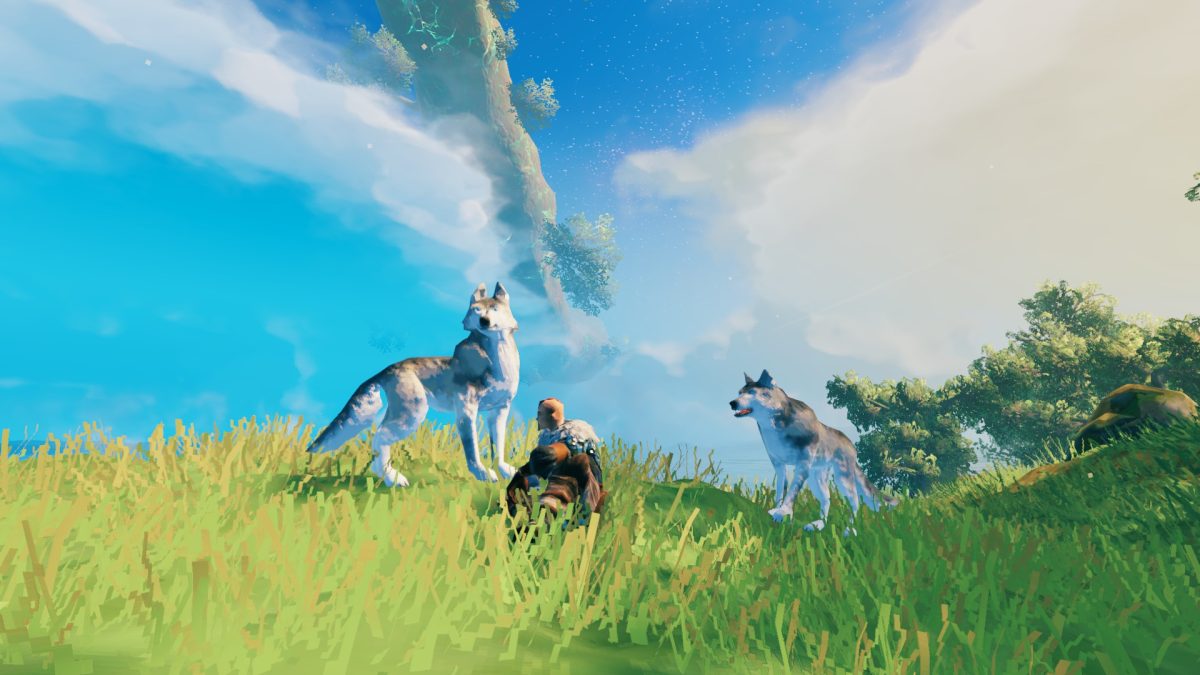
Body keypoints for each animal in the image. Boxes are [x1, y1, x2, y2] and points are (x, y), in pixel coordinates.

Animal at [306, 282, 520, 487]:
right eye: (476, 310)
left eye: (494, 309)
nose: (484, 321)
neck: (498, 362)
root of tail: (387, 369)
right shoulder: (467, 410)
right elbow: (472, 449)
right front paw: (483, 474)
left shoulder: (500, 410)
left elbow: (499, 446)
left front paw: (504, 470)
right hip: (412, 414)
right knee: (379, 438)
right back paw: (393, 479)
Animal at [730, 370, 898, 534]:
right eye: (739, 393)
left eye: (752, 392)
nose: (732, 403)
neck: (775, 425)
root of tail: (850, 443)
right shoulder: (779, 465)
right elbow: (780, 491)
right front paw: (777, 511)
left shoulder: (802, 465)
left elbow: (791, 492)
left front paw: (783, 512)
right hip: (815, 477)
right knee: (826, 498)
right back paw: (818, 524)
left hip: (842, 478)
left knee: (855, 501)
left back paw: (850, 529)